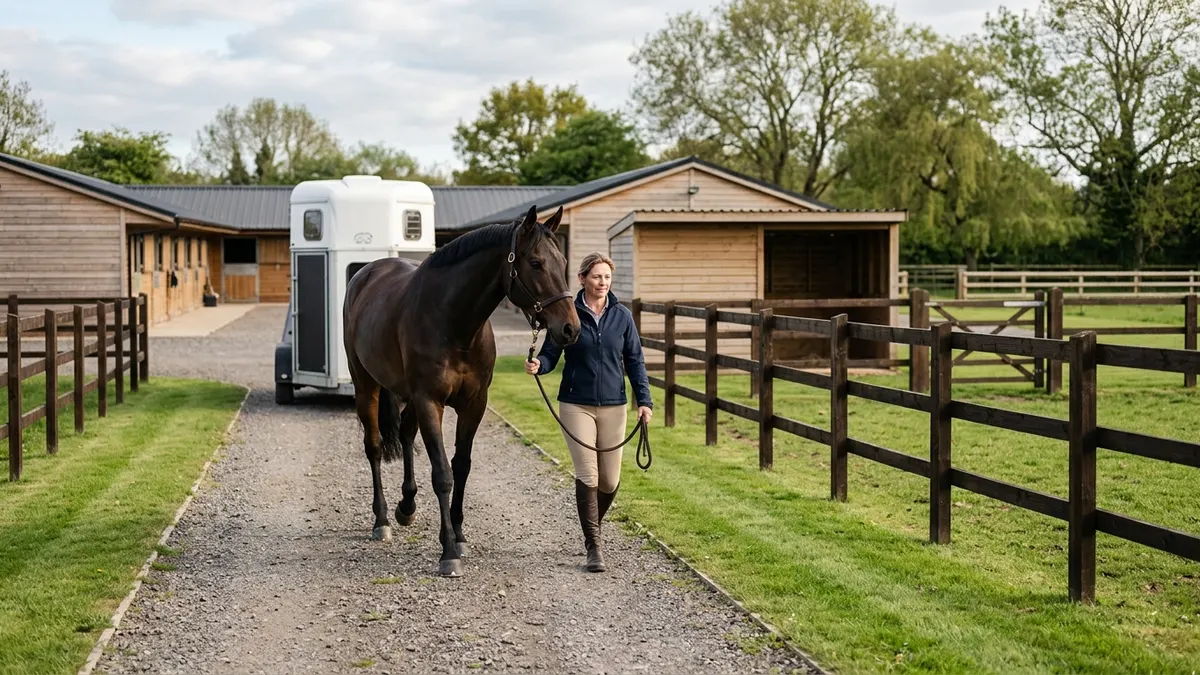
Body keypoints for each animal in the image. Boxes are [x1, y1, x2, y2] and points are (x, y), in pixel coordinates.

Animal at [342, 204, 580, 577]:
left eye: (563, 261)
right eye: (536, 263)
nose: (571, 328)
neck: (454, 322)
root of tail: (365, 274)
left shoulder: (474, 404)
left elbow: (462, 466)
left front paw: (460, 533)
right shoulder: (431, 402)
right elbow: (442, 473)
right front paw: (448, 551)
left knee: (406, 433)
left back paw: (406, 506)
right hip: (367, 386)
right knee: (374, 446)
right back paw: (382, 520)